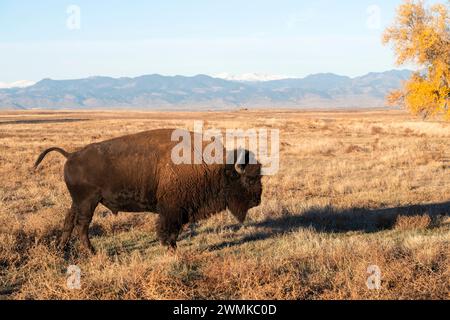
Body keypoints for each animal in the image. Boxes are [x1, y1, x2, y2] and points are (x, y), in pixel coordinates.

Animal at [34, 129, 264, 254]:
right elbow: (169, 230)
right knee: (82, 226)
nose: (257, 200)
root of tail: (71, 155)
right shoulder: (172, 210)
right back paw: (92, 252)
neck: (216, 167)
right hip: (88, 202)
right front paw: (171, 249)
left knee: (69, 221)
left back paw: (61, 248)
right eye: (250, 178)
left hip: (78, 202)